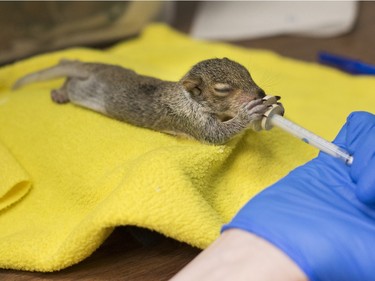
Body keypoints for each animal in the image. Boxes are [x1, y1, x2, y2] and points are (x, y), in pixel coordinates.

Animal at [12, 57, 280, 143]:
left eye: (246, 71)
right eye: (222, 89)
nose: (259, 93)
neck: (189, 99)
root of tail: (92, 68)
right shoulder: (190, 119)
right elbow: (216, 135)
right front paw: (249, 112)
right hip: (82, 90)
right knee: (69, 80)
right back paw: (60, 92)